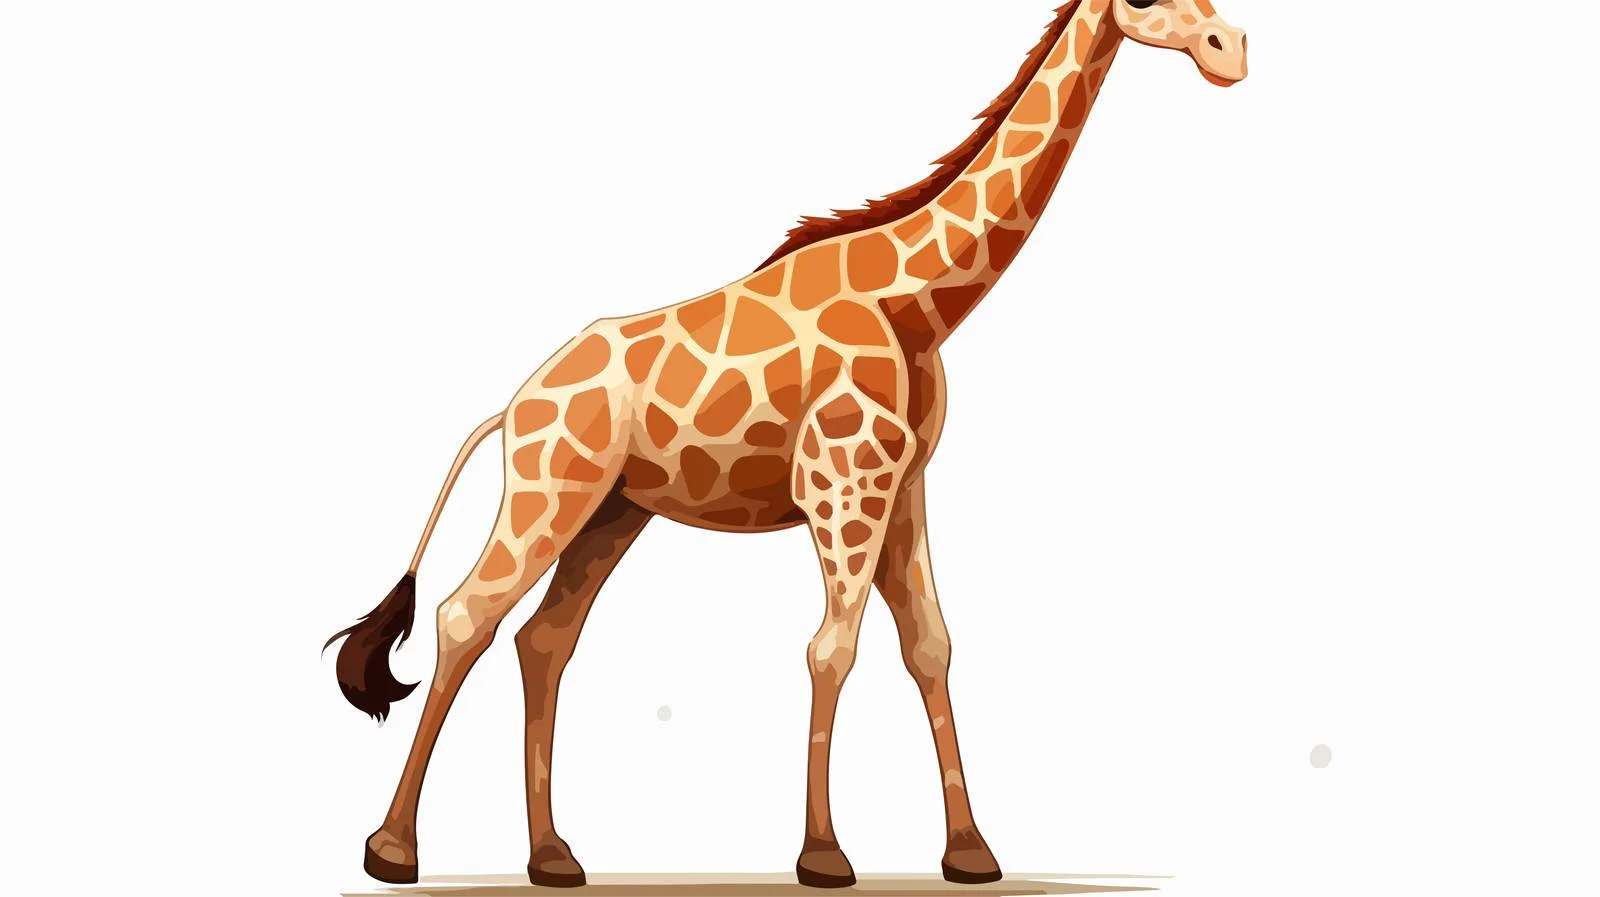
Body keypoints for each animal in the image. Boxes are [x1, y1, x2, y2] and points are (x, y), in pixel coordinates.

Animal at [326, 0, 1247, 888]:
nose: (1229, 49)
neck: (917, 300)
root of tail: (512, 406)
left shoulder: (901, 485)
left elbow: (932, 647)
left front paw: (970, 851)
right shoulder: (844, 481)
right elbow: (831, 649)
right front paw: (824, 854)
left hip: (614, 511)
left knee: (544, 638)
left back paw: (553, 856)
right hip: (552, 486)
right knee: (466, 615)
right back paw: (393, 848)